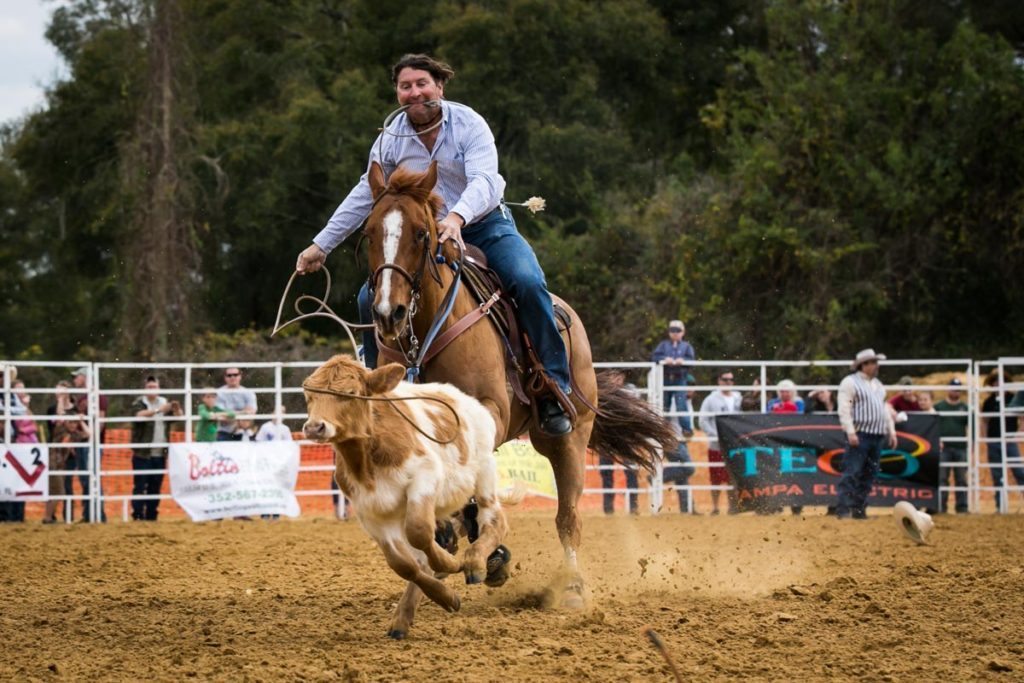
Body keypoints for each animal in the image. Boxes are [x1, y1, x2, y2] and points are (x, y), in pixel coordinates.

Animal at [301, 356, 512, 638]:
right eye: (309, 395)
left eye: (350, 393)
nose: (315, 427)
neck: (367, 459)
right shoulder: (370, 511)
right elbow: (403, 564)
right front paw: (445, 596)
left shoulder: (424, 476)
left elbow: (419, 531)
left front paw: (447, 563)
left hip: (485, 472)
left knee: (494, 520)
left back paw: (476, 561)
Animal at [362, 158, 679, 610]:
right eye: (369, 233)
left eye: (421, 233)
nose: (390, 313)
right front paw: (463, 539)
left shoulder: (490, 410)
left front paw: (477, 545)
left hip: (568, 437)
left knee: (568, 518)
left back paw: (570, 586)